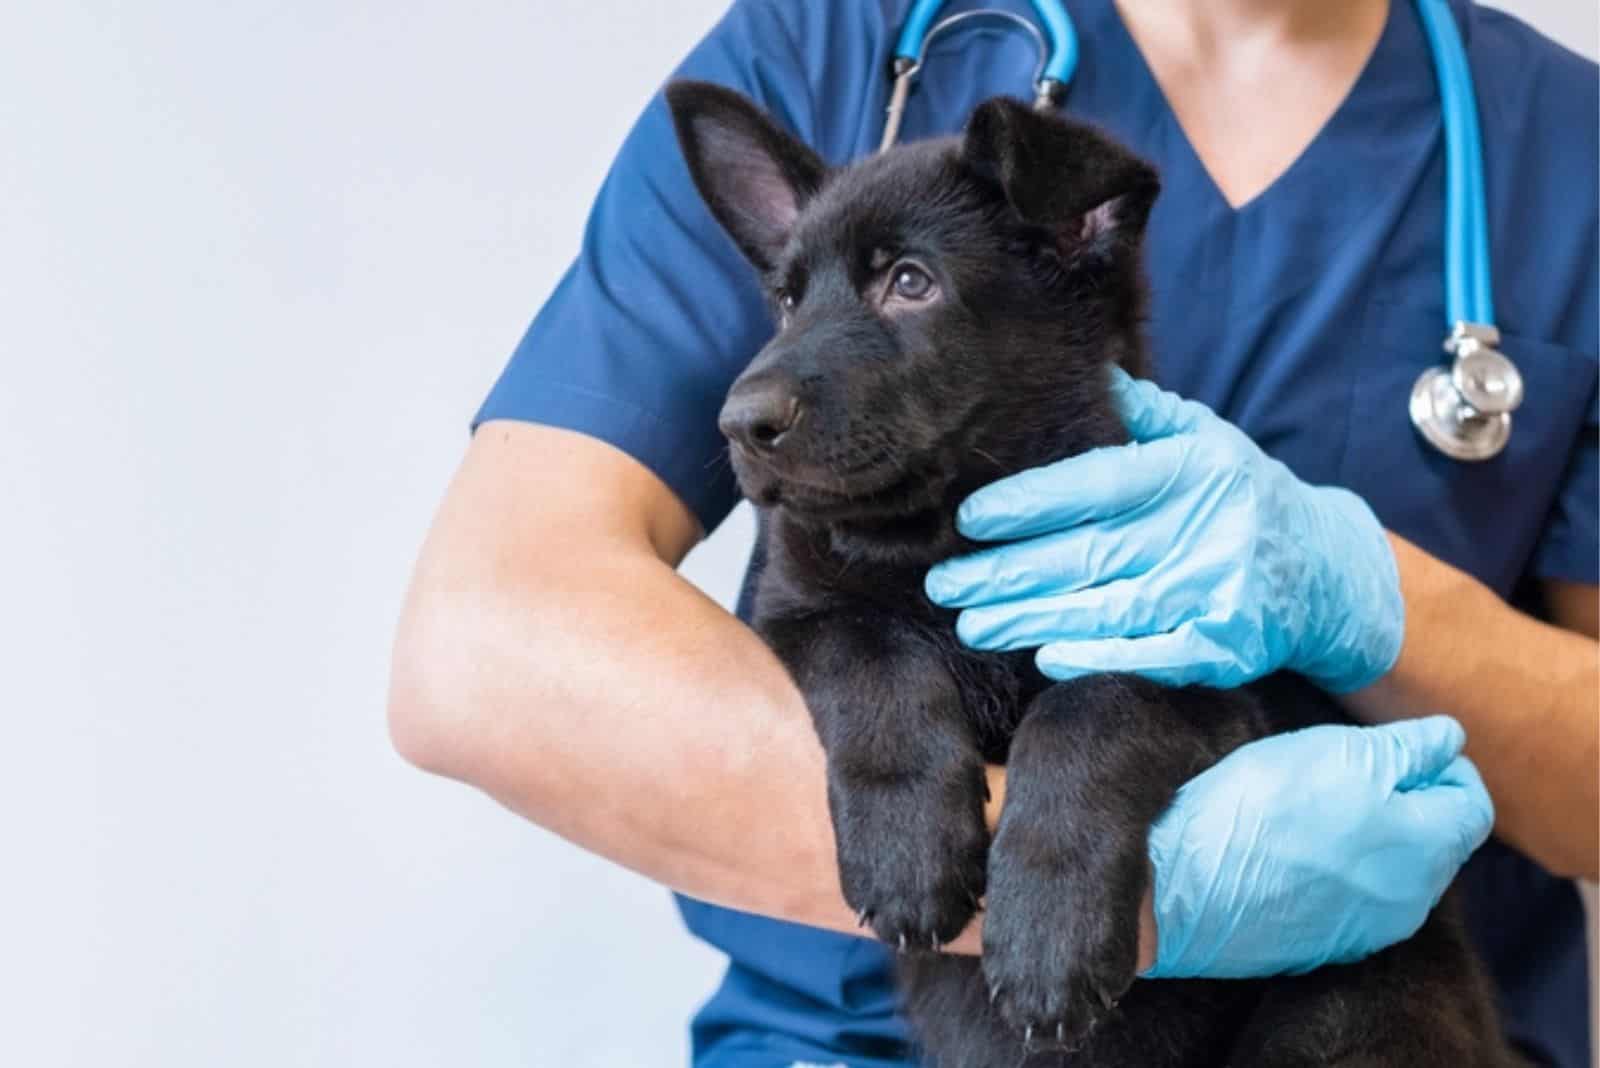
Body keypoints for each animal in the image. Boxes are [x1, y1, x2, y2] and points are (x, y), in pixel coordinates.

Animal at [662, 83, 1510, 1068]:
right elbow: (873, 659)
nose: (740, 422)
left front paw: (1047, 934)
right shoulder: (798, 607)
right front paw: (908, 851)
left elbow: (1089, 714)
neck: (941, 536)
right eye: (787, 300)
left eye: (909, 281)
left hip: (1357, 1012)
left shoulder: (1205, 683)